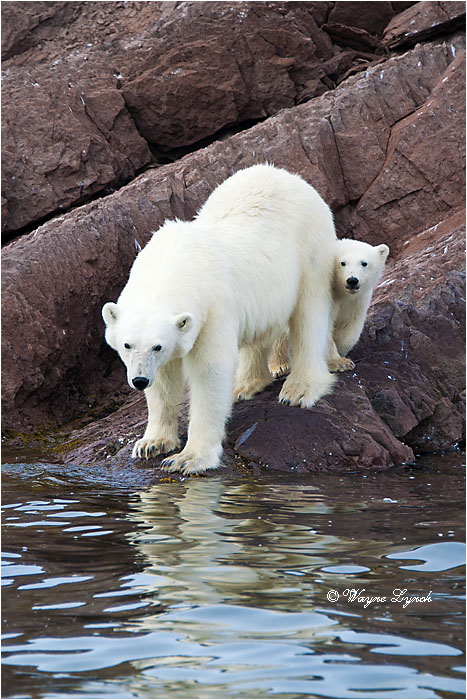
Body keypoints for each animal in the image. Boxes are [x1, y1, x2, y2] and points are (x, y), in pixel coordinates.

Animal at [102, 164, 337, 475]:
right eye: (127, 345)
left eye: (157, 346)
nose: (139, 380)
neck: (174, 264)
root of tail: (290, 176)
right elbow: (163, 380)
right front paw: (151, 443)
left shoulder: (212, 309)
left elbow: (210, 372)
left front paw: (188, 458)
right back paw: (245, 384)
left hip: (310, 248)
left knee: (309, 314)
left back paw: (299, 389)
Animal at [269, 238, 389, 376]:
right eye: (342, 263)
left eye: (364, 263)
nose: (352, 280)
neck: (339, 290)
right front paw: (340, 363)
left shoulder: (356, 301)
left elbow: (348, 327)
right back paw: (279, 366)